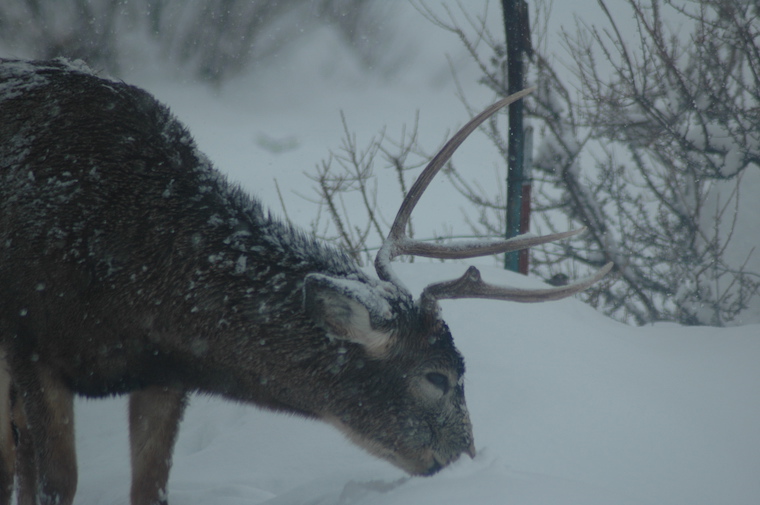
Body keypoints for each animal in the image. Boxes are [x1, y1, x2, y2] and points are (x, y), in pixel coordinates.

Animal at [0, 58, 612, 505]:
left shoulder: (164, 374)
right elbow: (57, 484)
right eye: (439, 377)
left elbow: (148, 491)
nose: (467, 459)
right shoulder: (31, 346)